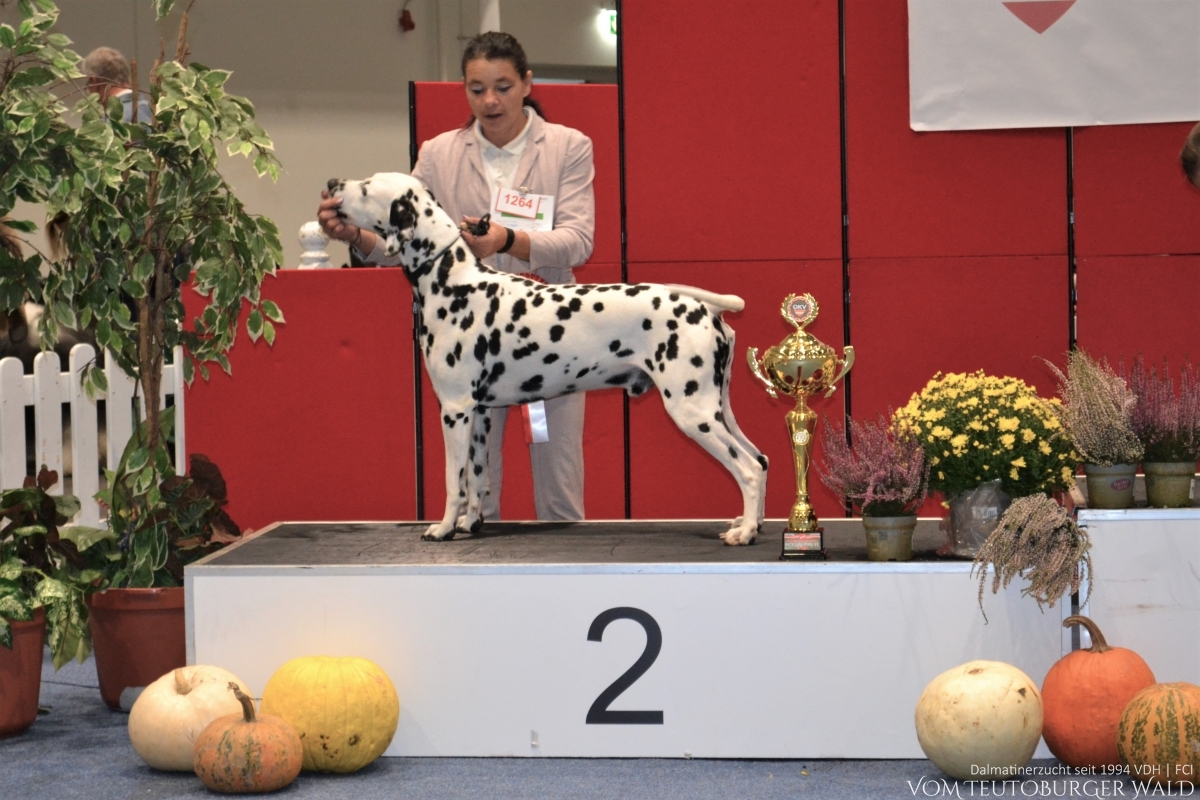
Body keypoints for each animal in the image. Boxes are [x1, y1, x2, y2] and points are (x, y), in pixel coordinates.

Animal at [326, 173, 768, 544]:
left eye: (366, 187)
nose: (332, 183)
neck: (452, 279)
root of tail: (706, 307)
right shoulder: (480, 412)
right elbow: (479, 477)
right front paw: (471, 522)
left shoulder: (454, 409)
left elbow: (456, 480)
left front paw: (445, 528)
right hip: (717, 408)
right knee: (760, 460)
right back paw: (751, 522)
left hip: (692, 412)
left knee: (746, 469)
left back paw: (744, 533)